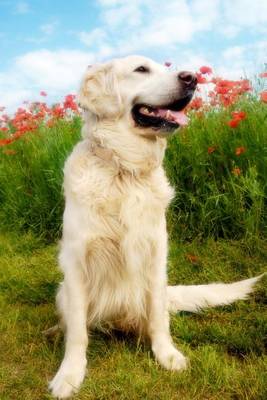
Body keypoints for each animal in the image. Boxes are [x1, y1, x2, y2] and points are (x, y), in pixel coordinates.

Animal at [49, 54, 262, 398]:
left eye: (165, 67)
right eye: (141, 69)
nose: (192, 78)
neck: (124, 170)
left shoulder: (155, 254)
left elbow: (158, 322)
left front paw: (167, 355)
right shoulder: (77, 263)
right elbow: (78, 331)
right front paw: (69, 374)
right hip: (62, 289)